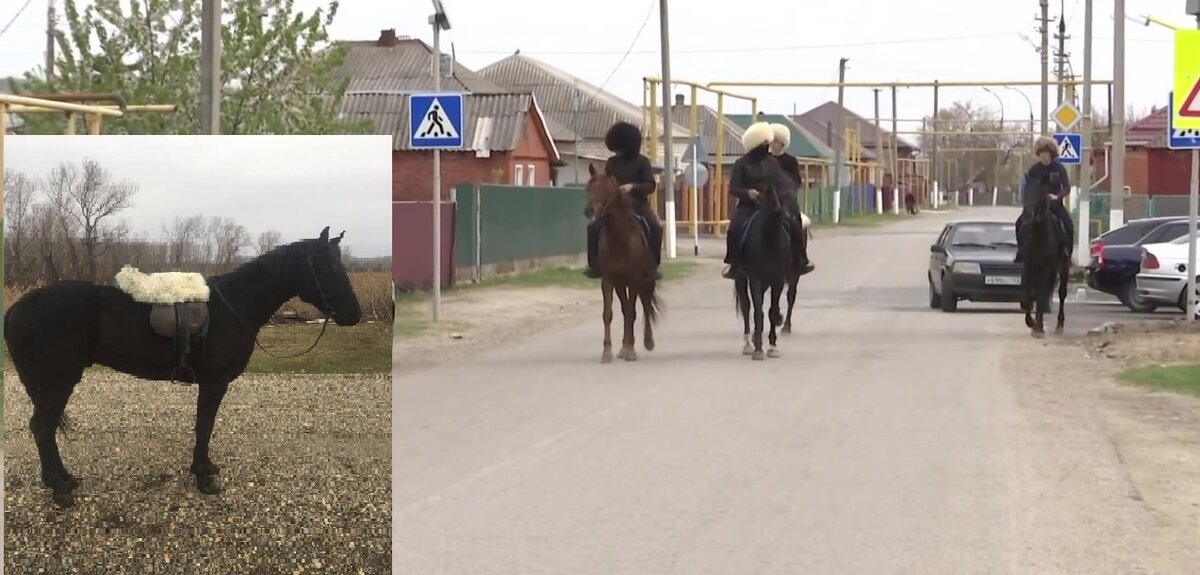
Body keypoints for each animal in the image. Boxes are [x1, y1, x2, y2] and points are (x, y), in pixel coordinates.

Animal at [4, 226, 360, 506]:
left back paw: (63, 479)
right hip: (57, 382)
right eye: (328, 268)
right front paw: (203, 478)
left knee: (43, 428)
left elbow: (204, 427)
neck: (232, 307)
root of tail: (15, 310)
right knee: (43, 429)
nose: (353, 314)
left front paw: (206, 469)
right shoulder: (214, 382)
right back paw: (60, 489)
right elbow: (204, 426)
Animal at [583, 162, 662, 362]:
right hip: (621, 284)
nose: (589, 211)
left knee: (646, 306)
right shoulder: (608, 280)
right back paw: (623, 347)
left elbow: (633, 312)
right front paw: (608, 352)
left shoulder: (634, 279)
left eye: (604, 188)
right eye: (588, 188)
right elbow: (609, 314)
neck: (620, 238)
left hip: (646, 281)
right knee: (627, 308)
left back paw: (648, 341)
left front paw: (630, 350)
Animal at [729, 189, 796, 360]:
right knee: (746, 307)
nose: (791, 218)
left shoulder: (778, 280)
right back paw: (748, 344)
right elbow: (758, 312)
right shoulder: (755, 280)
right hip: (740, 278)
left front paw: (773, 346)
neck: (770, 240)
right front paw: (758, 349)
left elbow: (772, 311)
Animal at [1022, 195, 1070, 338]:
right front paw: (1032, 323)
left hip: (1063, 266)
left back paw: (1059, 325)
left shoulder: (1045, 268)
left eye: (1040, 193)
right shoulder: (1029, 266)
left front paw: (1037, 327)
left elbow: (1040, 294)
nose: (1029, 214)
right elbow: (1029, 294)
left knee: (1061, 293)